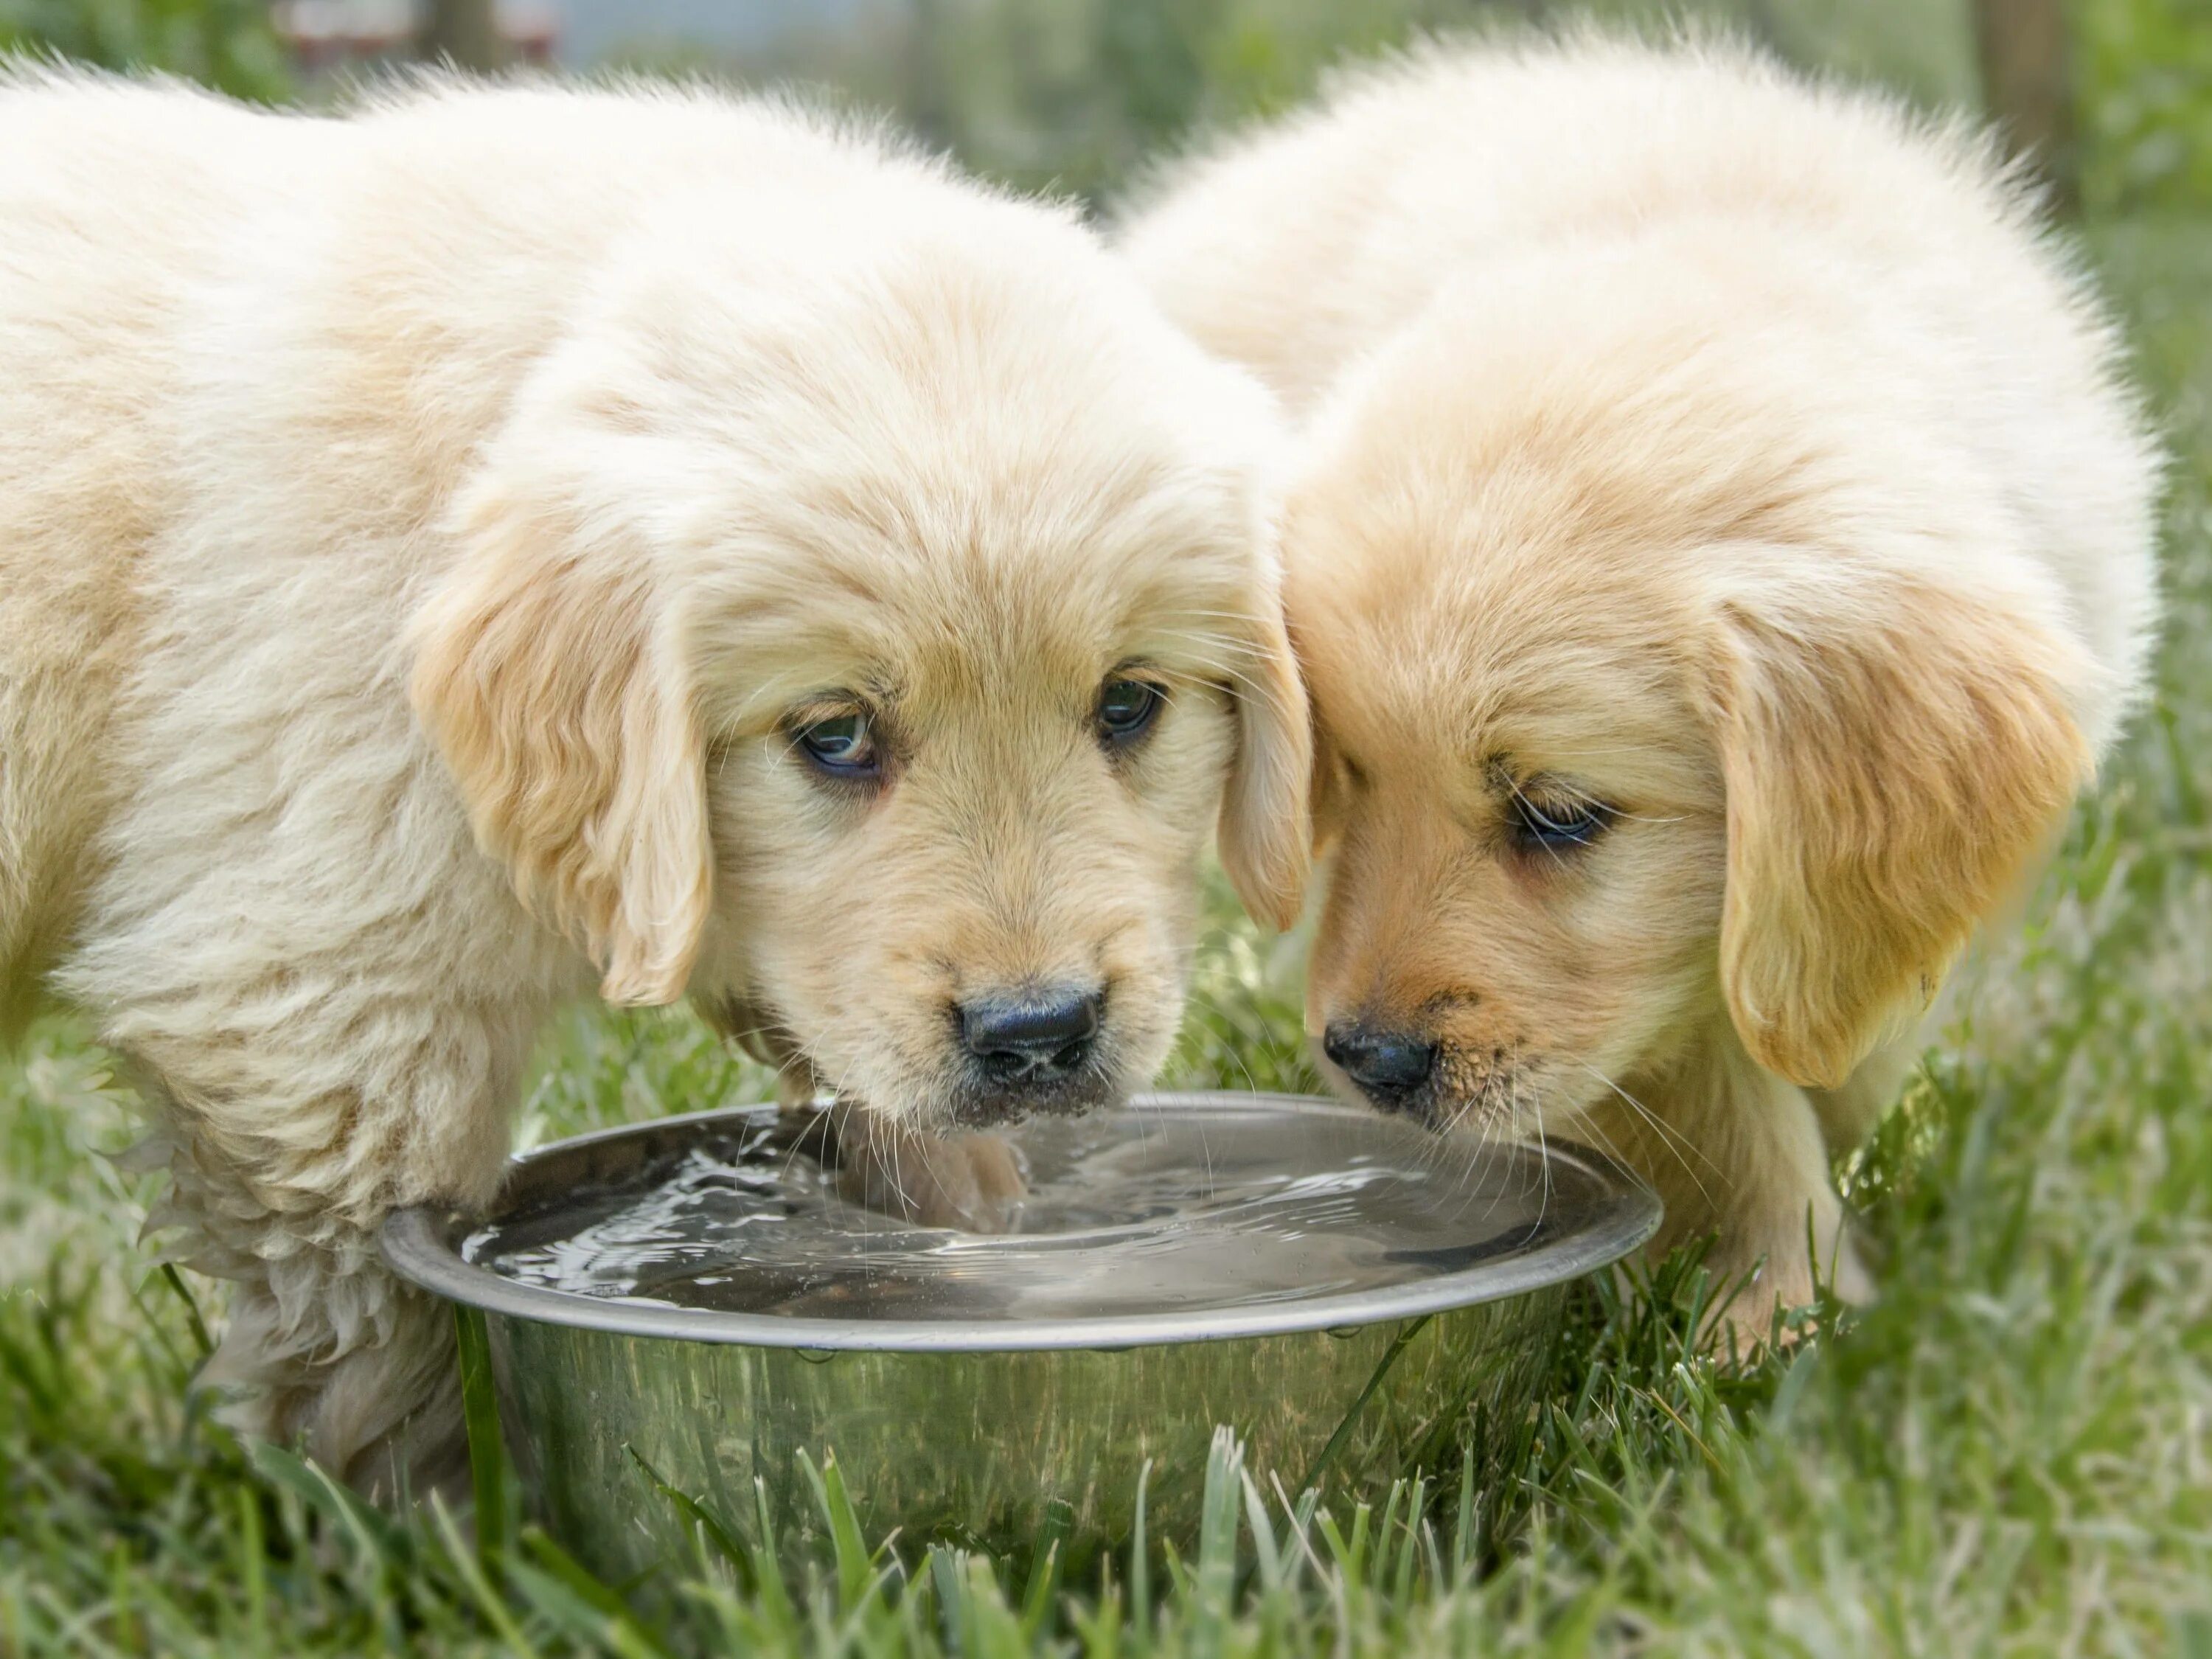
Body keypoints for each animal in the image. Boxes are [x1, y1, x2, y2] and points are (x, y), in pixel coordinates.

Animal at [1124, 35, 2159, 1336]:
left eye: (1560, 815)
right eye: (1345, 782)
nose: (1366, 1060)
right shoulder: (1649, 1016)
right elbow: (1723, 1110)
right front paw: (1773, 1309)